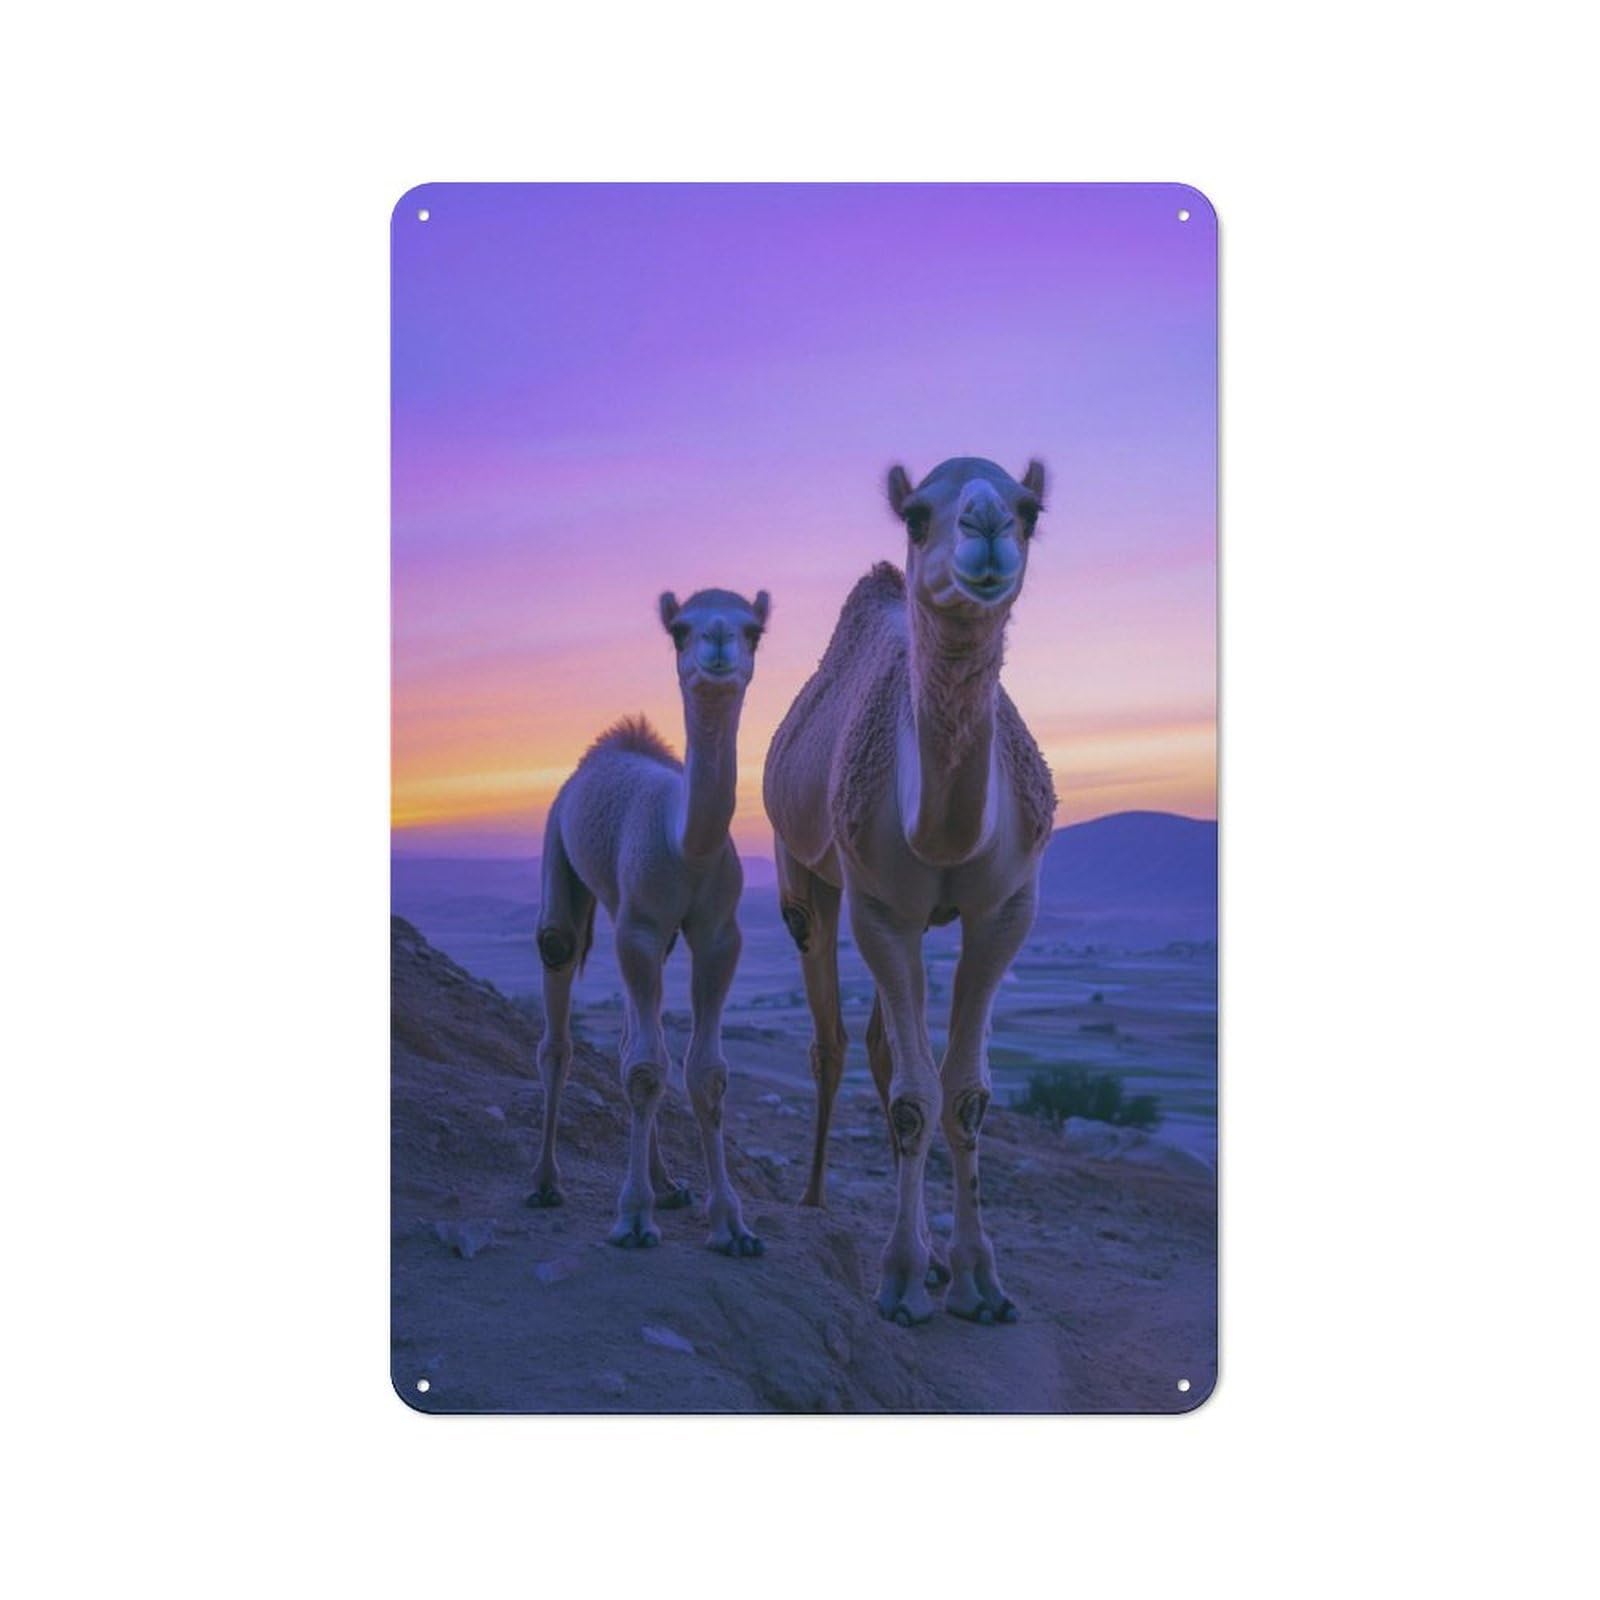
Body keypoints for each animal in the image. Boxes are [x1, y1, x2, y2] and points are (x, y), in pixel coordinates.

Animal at [531, 587, 771, 1257]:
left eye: (754, 630)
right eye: (680, 630)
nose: (717, 643)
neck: (682, 841)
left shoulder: (718, 935)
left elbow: (703, 1074)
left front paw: (732, 1224)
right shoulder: (637, 927)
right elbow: (643, 1070)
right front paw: (633, 1218)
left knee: (634, 1039)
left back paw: (668, 1185)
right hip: (560, 847)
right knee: (559, 991)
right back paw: (545, 1182)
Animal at [763, 458, 1056, 1325]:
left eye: (1031, 509)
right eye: (918, 515)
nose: (986, 524)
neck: (947, 827)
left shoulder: (1007, 908)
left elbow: (962, 1095)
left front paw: (977, 1280)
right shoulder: (880, 908)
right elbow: (913, 1098)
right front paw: (899, 1276)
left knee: (883, 1048)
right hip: (804, 875)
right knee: (833, 1042)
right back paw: (817, 1196)